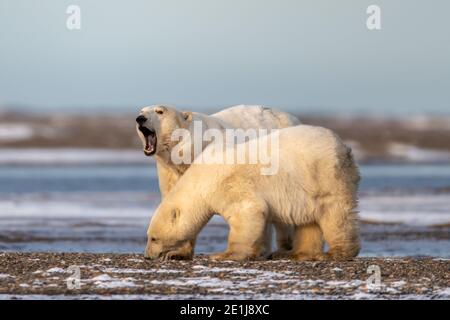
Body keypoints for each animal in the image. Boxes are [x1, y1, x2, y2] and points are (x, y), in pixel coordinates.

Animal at [145, 124, 362, 262]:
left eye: (153, 238)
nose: (147, 256)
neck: (201, 178)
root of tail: (344, 146)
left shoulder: (230, 184)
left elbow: (248, 212)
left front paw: (223, 255)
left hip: (327, 177)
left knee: (335, 214)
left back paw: (336, 253)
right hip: (308, 189)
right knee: (308, 219)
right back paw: (295, 253)